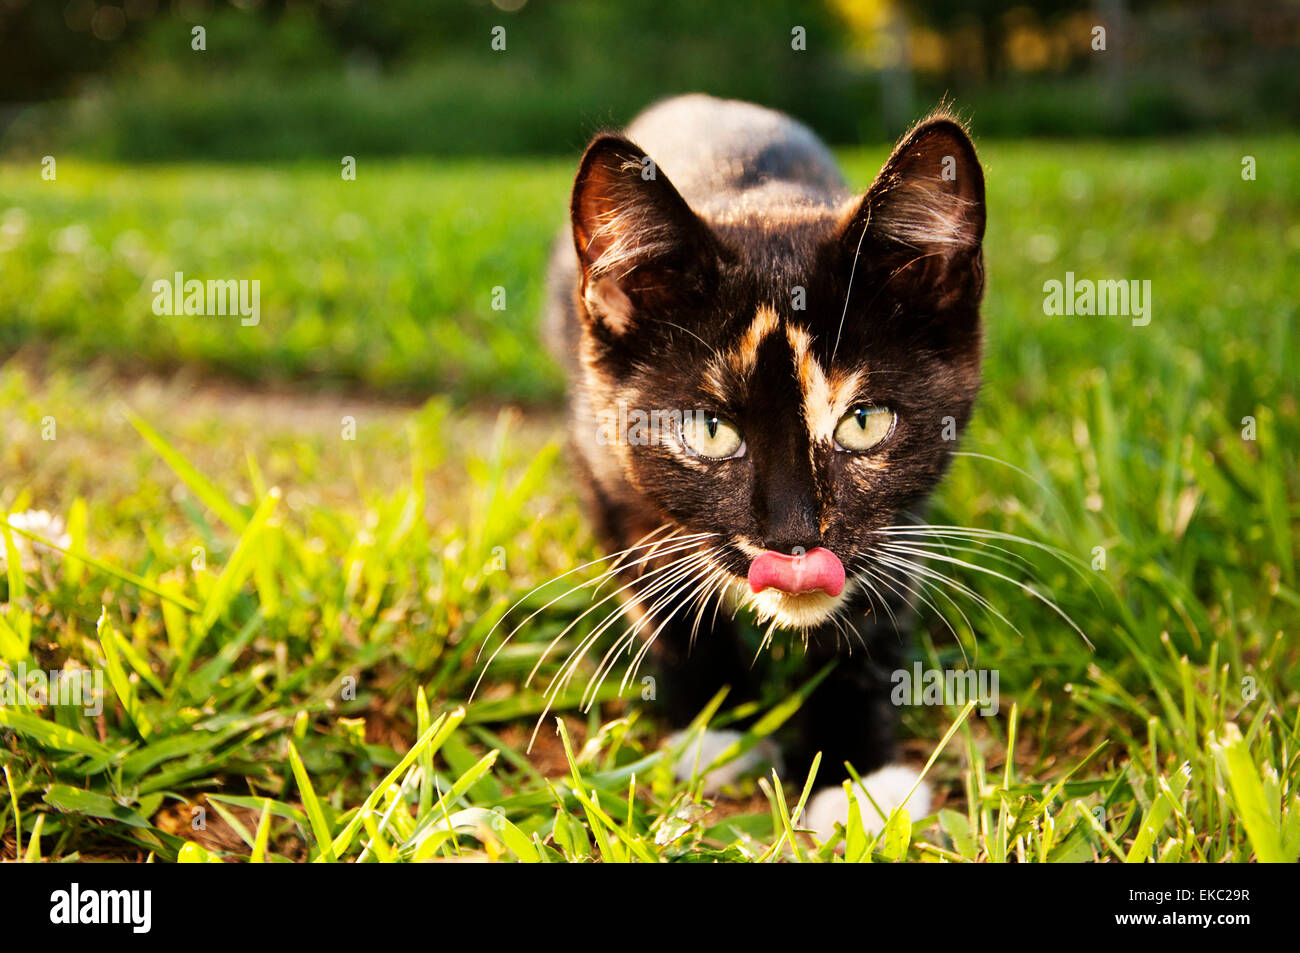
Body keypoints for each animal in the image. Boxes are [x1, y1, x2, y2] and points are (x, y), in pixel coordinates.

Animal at [540, 94, 982, 842]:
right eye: (710, 431)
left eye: (864, 421)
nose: (794, 537)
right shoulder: (599, 464)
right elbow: (660, 598)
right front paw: (717, 731)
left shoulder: (899, 515)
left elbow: (876, 607)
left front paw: (855, 776)